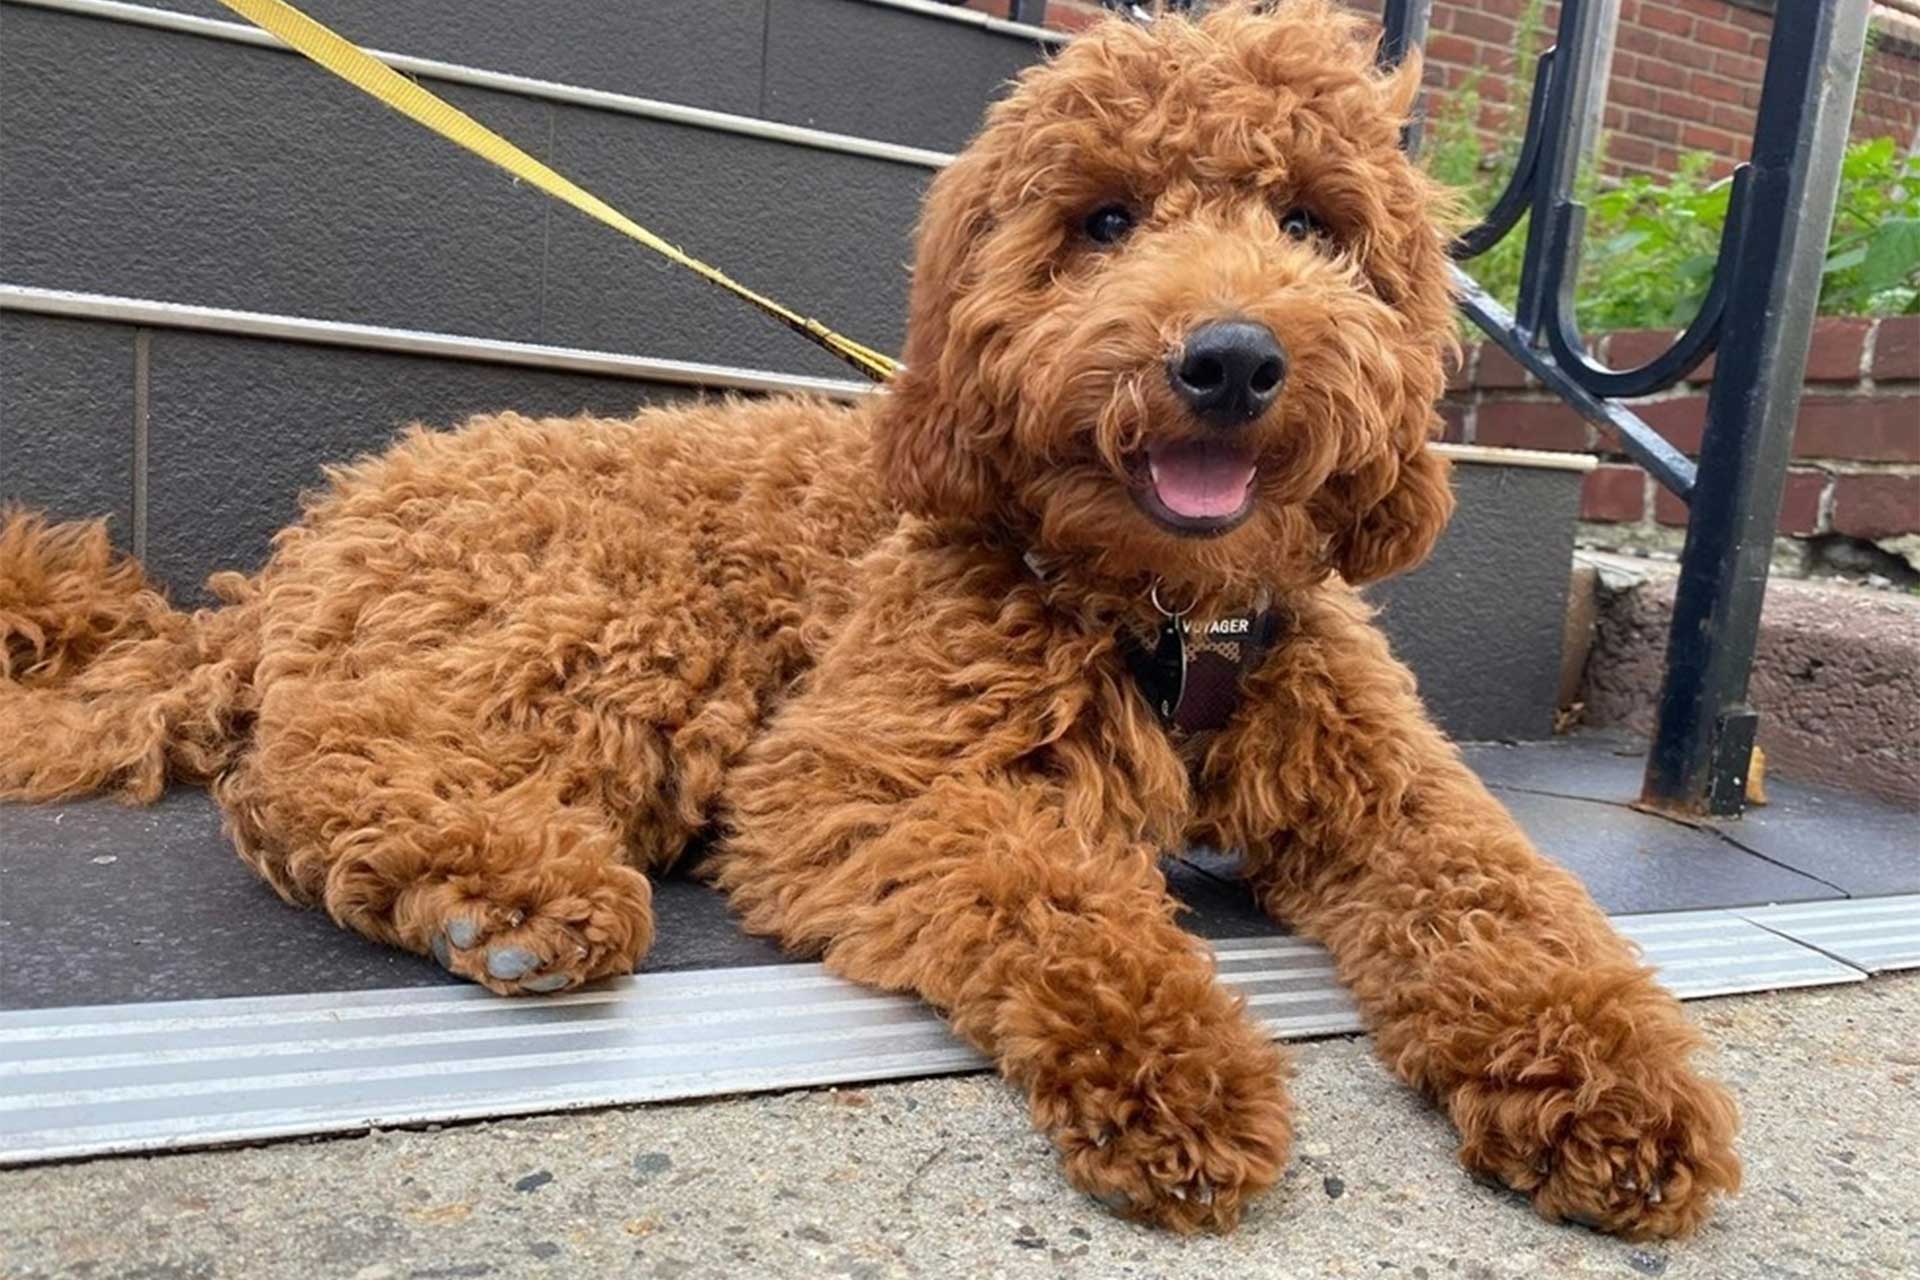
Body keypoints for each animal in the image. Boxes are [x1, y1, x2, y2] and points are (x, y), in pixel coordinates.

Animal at [0, 0, 1743, 1243]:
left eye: (1312, 223)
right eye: (1107, 221)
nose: (1232, 358)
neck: (1163, 614)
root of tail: (309, 542)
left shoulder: (1390, 792)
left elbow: (1512, 908)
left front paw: (1618, 1089)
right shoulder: (864, 774)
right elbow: (1053, 889)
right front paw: (1176, 1063)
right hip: (612, 620)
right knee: (312, 769)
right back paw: (506, 893)